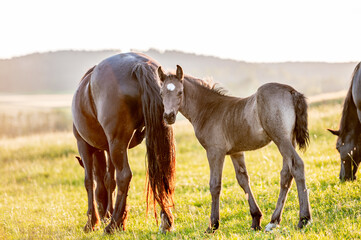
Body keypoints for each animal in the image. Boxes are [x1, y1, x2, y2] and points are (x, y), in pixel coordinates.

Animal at [71, 52, 175, 232]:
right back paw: (165, 221)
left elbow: (90, 181)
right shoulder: (108, 147)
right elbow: (109, 181)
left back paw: (114, 223)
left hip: (117, 143)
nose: (103, 214)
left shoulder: (84, 146)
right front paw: (107, 212)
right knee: (160, 173)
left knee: (124, 176)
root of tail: (140, 64)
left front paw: (92, 221)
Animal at [157, 65, 310, 232]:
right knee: (286, 174)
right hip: (289, 139)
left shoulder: (215, 151)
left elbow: (215, 185)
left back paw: (304, 219)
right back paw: (273, 221)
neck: (208, 109)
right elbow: (243, 180)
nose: (169, 117)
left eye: (180, 92)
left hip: (281, 139)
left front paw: (213, 225)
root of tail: (291, 91)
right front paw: (256, 220)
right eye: (161, 93)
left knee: (297, 166)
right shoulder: (236, 152)